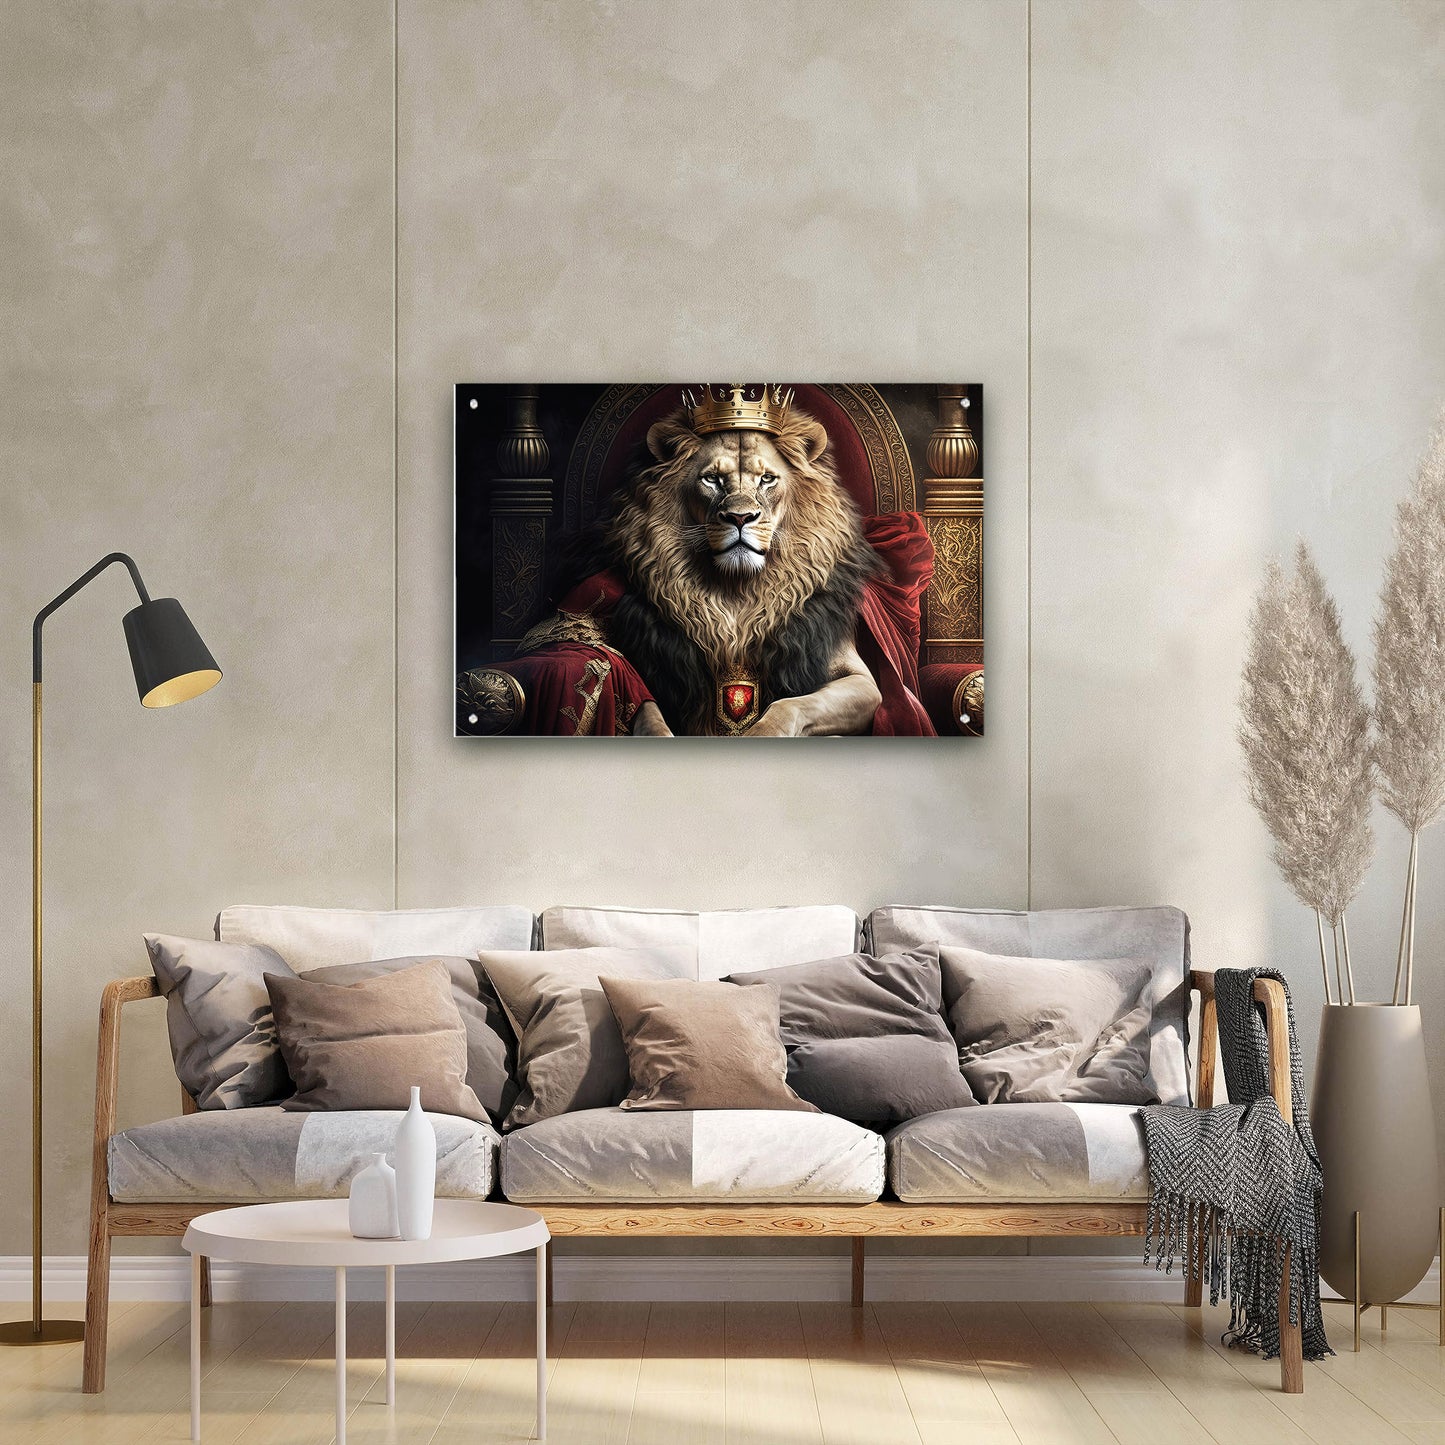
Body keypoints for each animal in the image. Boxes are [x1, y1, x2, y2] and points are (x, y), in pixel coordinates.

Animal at [594, 404, 884, 736]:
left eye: (767, 479)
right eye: (712, 479)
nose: (740, 517)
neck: (737, 594)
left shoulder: (861, 680)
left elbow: (788, 704)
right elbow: (647, 713)